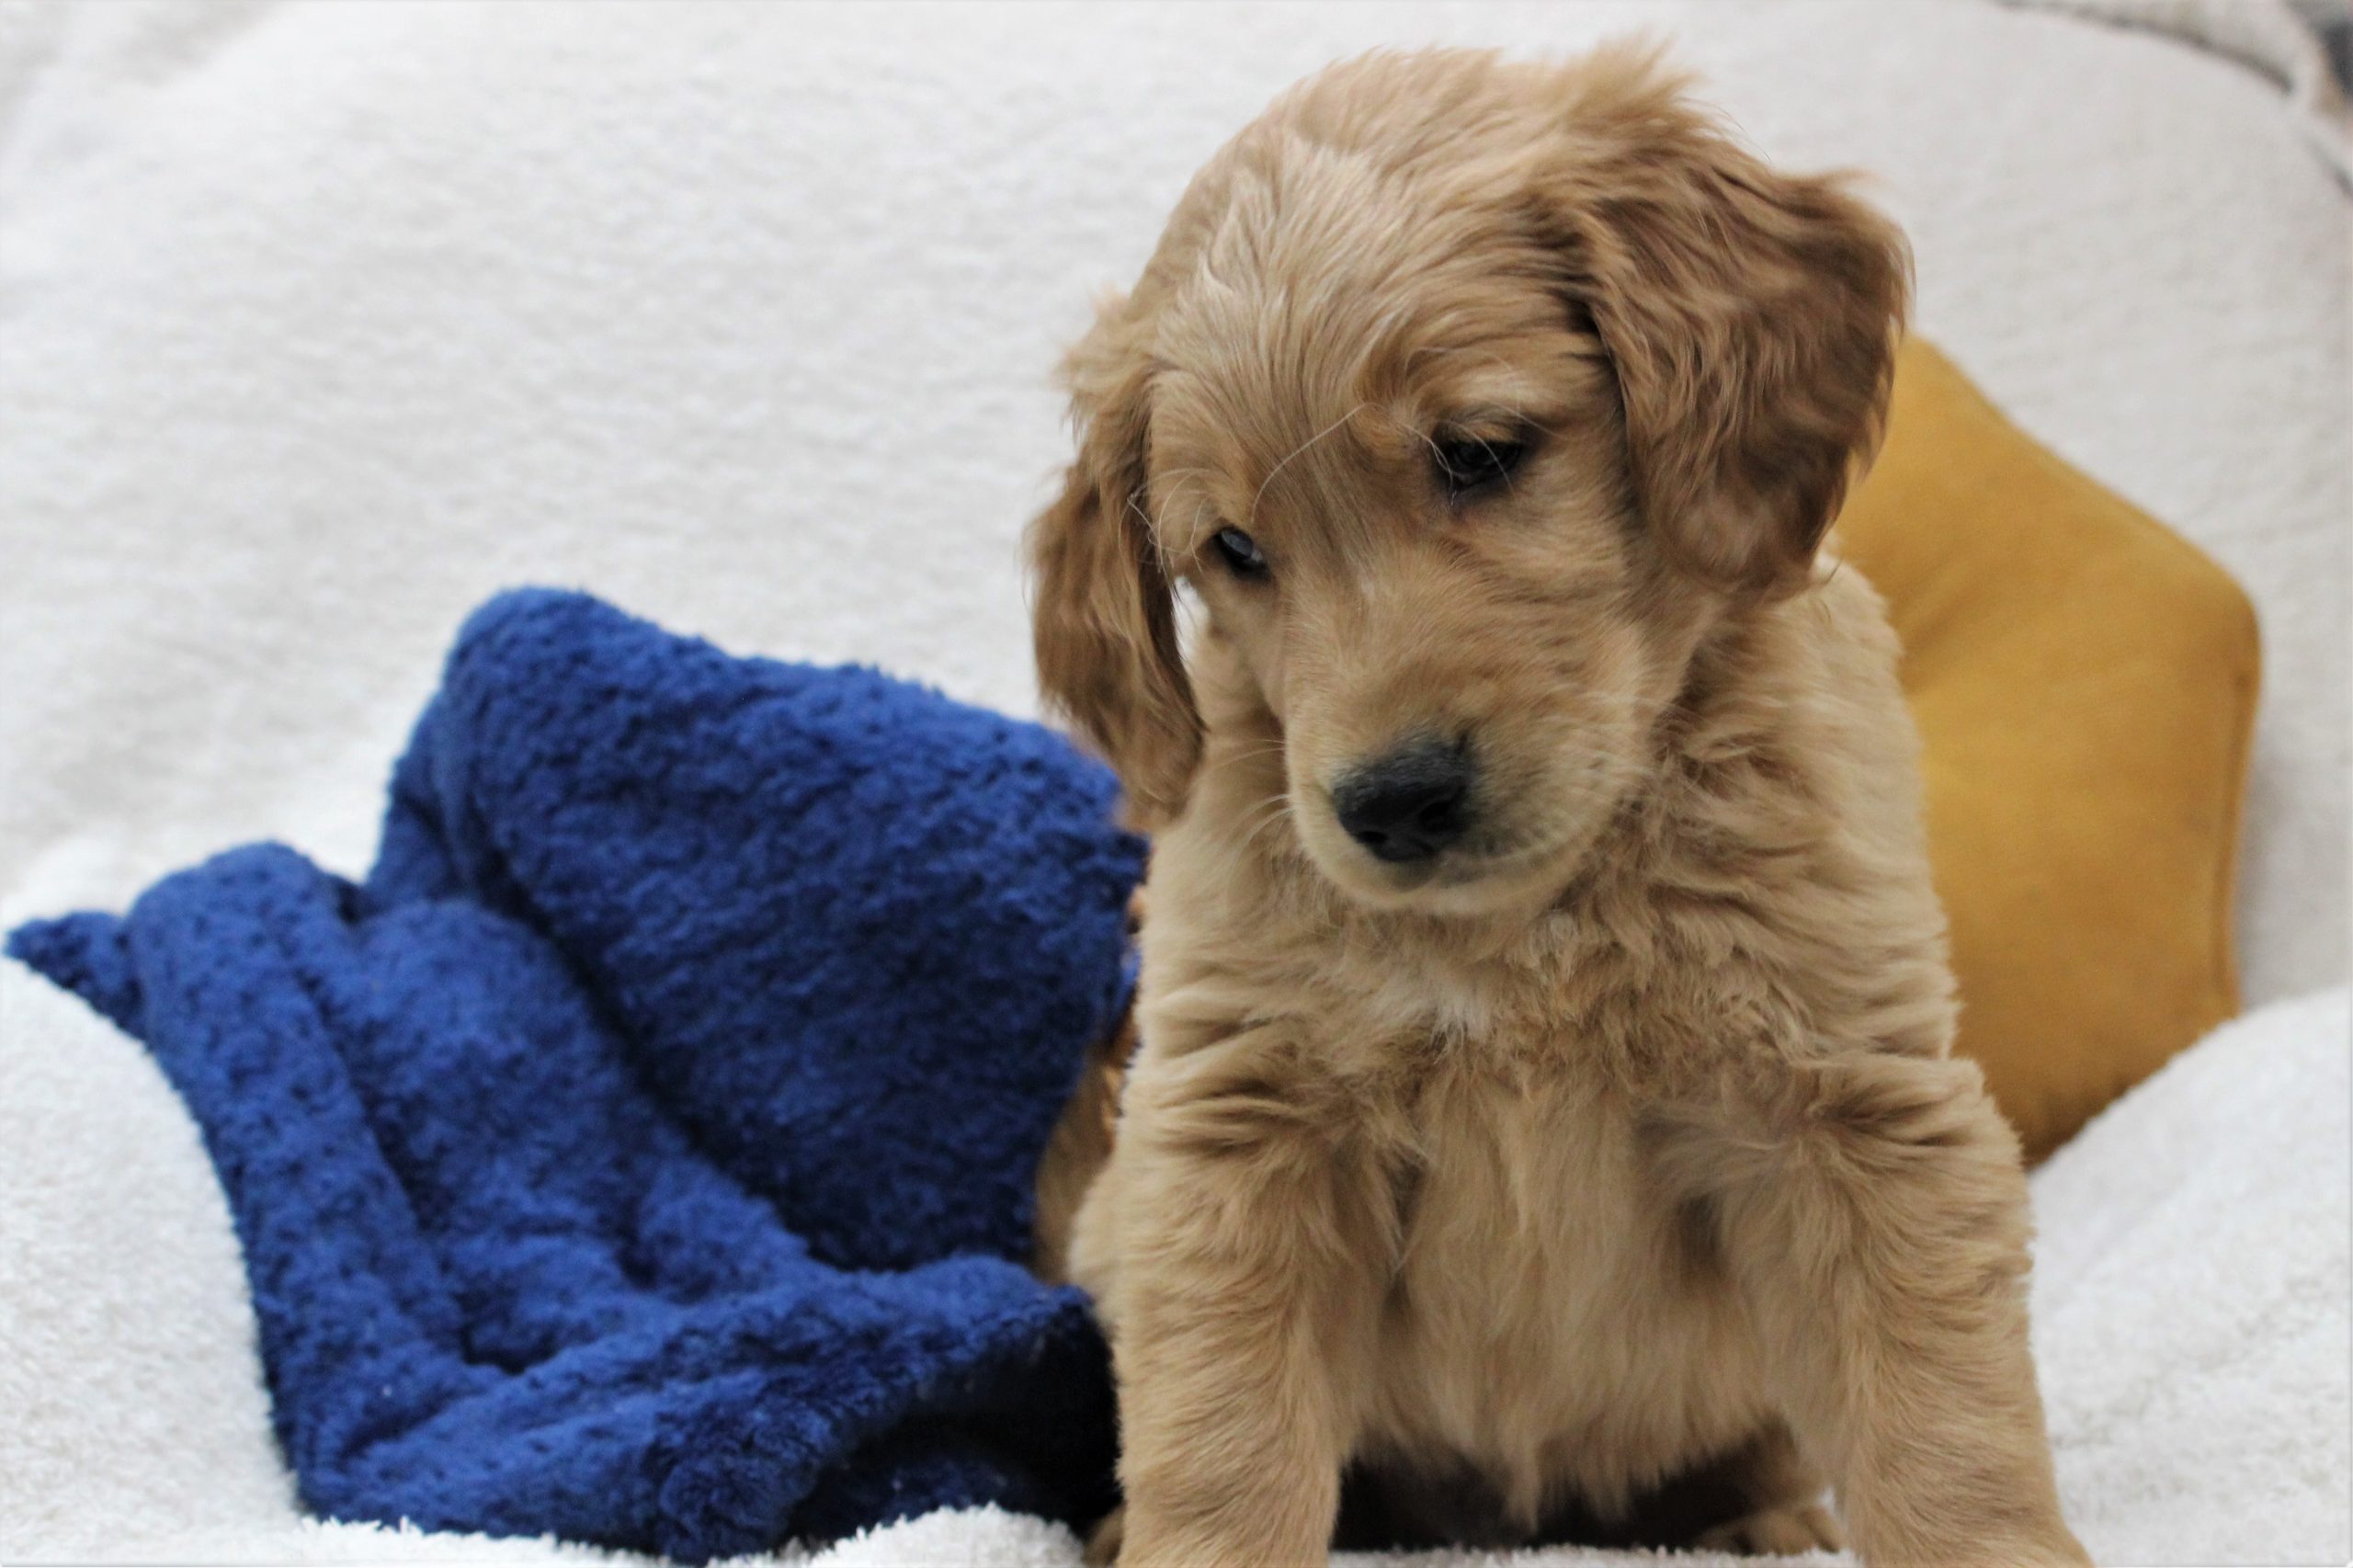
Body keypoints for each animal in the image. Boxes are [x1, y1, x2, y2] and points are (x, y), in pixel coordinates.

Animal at [1025, 44, 2089, 1567]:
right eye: (1233, 547)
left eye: (1479, 449)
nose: (1394, 802)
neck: (1531, 921)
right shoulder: (1244, 1125)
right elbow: (1225, 1448)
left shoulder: (1852, 1102)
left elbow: (1944, 1427)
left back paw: (1759, 1515)